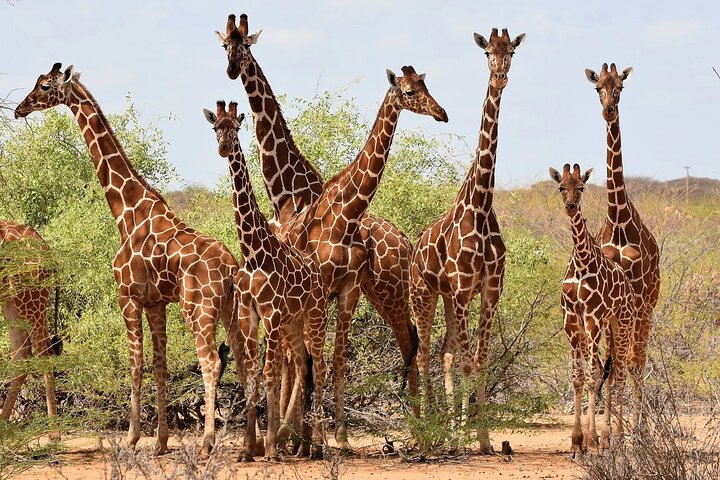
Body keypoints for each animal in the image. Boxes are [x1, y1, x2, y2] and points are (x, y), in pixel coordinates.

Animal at [14, 63, 245, 455]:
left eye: (44, 86)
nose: (20, 108)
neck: (127, 213)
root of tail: (230, 268)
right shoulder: (156, 303)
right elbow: (159, 364)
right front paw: (161, 442)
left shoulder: (128, 297)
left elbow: (135, 363)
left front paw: (133, 437)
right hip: (230, 308)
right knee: (245, 359)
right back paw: (254, 445)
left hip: (199, 309)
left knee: (212, 362)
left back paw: (207, 443)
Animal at [203, 101, 328, 461]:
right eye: (215, 127)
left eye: (236, 128)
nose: (223, 147)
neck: (253, 251)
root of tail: (318, 274)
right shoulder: (250, 314)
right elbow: (252, 375)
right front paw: (248, 448)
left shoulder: (270, 314)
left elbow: (270, 374)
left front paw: (270, 447)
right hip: (294, 323)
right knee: (302, 364)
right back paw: (305, 444)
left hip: (315, 318)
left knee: (321, 367)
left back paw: (321, 445)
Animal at [215, 13, 421, 418]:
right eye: (224, 45)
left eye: (244, 45)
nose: (231, 69)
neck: (287, 191)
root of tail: (406, 242)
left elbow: (299, 361)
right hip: (379, 292)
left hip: (386, 290)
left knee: (409, 343)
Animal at [410, 28, 523, 454]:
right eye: (487, 51)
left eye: (512, 52)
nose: (501, 76)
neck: (481, 203)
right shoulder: (461, 289)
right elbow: (466, 360)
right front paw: (464, 438)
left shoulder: (489, 289)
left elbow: (480, 358)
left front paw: (484, 438)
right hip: (424, 293)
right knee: (424, 354)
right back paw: (427, 434)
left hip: (445, 296)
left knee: (444, 352)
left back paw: (445, 430)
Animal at [549, 163, 636, 456]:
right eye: (561, 186)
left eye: (582, 187)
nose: (571, 206)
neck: (582, 261)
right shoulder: (571, 319)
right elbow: (578, 377)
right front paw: (577, 443)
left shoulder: (592, 317)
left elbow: (590, 376)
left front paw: (589, 442)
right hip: (608, 327)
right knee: (606, 370)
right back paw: (606, 438)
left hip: (622, 323)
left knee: (618, 373)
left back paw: (616, 438)